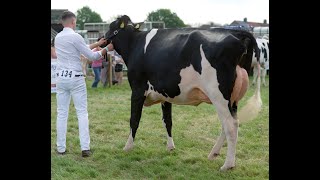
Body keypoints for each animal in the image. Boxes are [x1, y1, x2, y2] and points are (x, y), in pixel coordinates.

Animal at [105, 15, 260, 172]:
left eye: (111, 27)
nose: (102, 39)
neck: (134, 43)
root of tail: (238, 34)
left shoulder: (137, 90)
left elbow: (134, 119)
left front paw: (128, 147)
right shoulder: (164, 95)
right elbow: (167, 121)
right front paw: (170, 147)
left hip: (219, 96)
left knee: (231, 125)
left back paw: (227, 165)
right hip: (233, 100)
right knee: (229, 123)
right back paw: (214, 153)